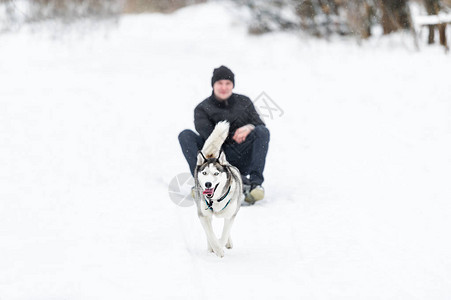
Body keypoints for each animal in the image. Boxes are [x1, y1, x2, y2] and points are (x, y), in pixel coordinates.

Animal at [194, 120, 244, 256]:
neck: (215, 200)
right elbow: (211, 235)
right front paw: (215, 249)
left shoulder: (231, 216)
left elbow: (224, 234)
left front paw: (220, 247)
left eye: (216, 173)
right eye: (204, 173)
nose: (208, 184)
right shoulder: (203, 215)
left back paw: (227, 243)